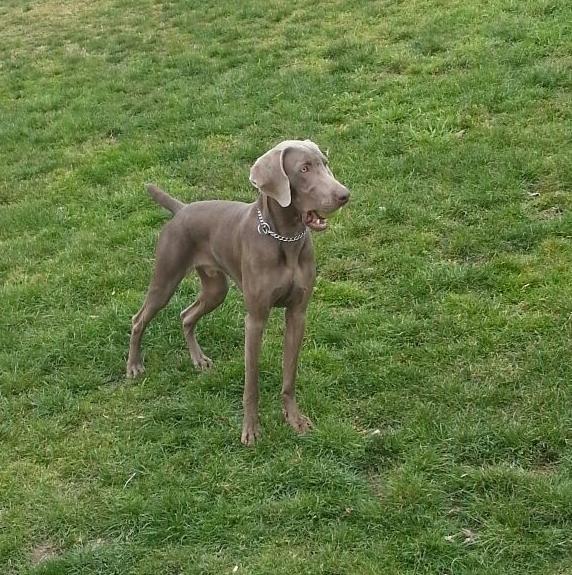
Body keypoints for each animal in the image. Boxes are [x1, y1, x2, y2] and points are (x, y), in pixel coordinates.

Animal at [126, 138, 348, 446]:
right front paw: (251, 430)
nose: (344, 195)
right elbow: (251, 383)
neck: (285, 238)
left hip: (215, 289)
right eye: (304, 169)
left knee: (186, 315)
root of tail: (181, 209)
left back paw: (198, 360)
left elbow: (289, 376)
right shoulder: (255, 319)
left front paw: (294, 419)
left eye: (325, 164)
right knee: (139, 319)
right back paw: (134, 366)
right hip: (165, 279)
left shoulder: (298, 313)